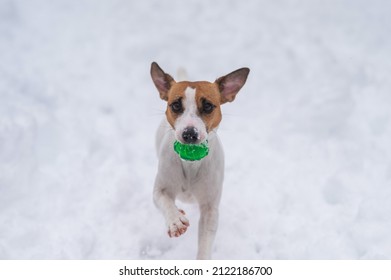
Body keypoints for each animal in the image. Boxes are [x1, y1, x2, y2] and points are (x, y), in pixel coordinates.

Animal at [152, 62, 250, 260]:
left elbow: (205, 240)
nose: (189, 133)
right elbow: (164, 200)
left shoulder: (210, 209)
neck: (190, 163)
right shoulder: (159, 189)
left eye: (208, 106)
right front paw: (175, 220)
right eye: (175, 105)